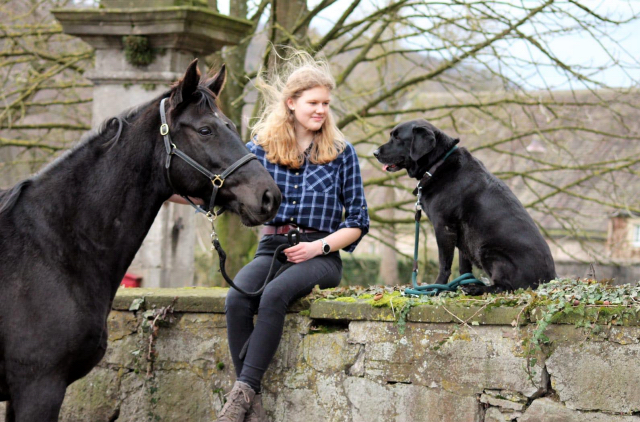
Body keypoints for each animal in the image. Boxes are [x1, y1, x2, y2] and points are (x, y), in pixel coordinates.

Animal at [376, 117, 556, 292]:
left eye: (397, 138)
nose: (374, 153)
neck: (437, 164)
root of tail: (549, 280)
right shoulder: (462, 235)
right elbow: (464, 267)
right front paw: (461, 284)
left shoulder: (444, 227)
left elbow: (444, 264)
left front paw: (437, 287)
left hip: (488, 251)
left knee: (505, 287)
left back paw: (477, 289)